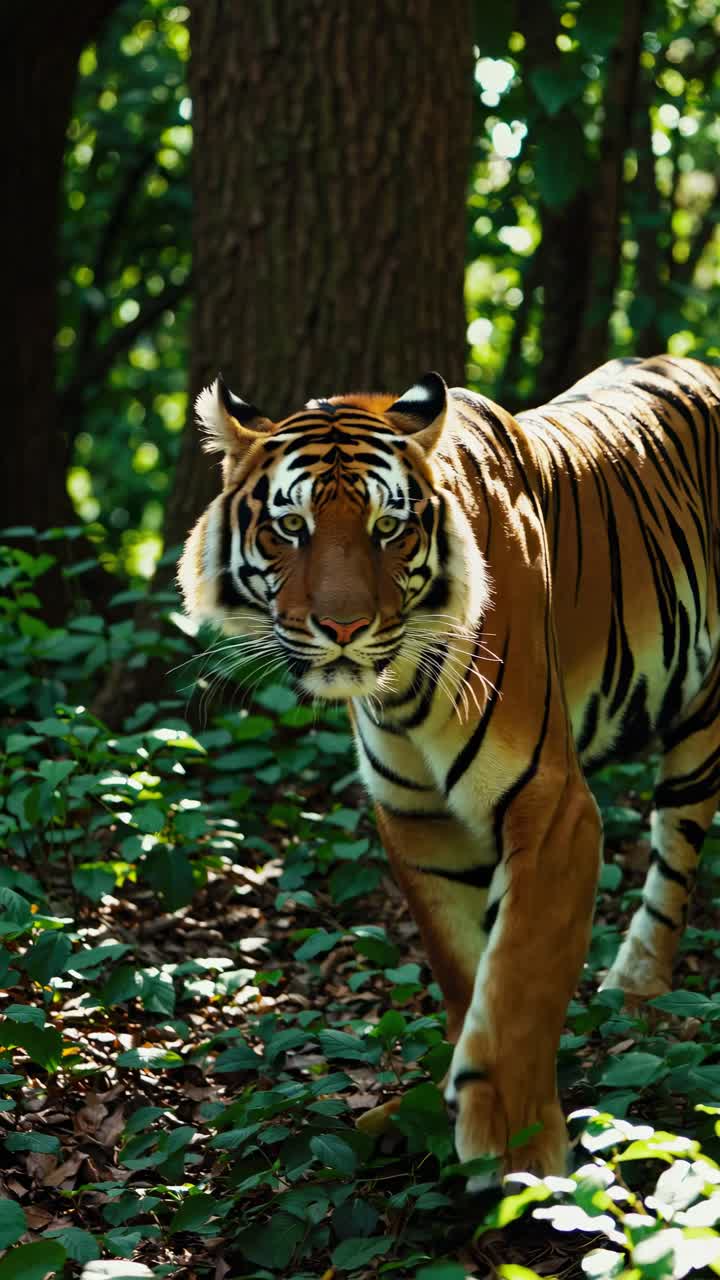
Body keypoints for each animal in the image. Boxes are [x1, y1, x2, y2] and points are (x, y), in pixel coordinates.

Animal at [179, 354, 720, 1182]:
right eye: (292, 526)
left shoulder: (554, 806)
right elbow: (467, 971)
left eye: (388, 528)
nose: (343, 627)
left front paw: (515, 1143)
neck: (399, 690)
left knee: (674, 856)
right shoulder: (418, 821)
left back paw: (636, 992)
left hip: (702, 722)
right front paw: (437, 1112)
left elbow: (521, 971)